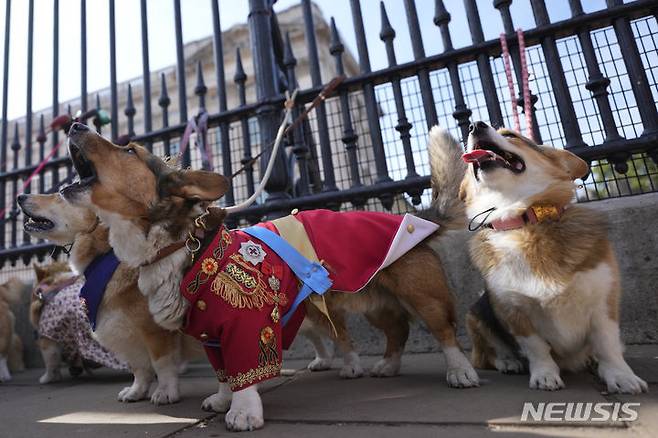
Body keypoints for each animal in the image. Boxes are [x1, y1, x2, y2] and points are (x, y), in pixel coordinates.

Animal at [18, 193, 202, 402]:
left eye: (61, 195)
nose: (20, 196)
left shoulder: (156, 331)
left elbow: (162, 364)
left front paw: (165, 392)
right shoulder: (129, 335)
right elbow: (139, 368)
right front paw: (136, 391)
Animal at [57, 122, 476, 432]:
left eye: (129, 151)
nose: (74, 123)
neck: (181, 245)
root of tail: (416, 216)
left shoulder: (246, 325)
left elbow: (242, 370)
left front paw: (243, 411)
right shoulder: (211, 335)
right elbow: (224, 372)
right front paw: (223, 398)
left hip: (423, 295)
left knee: (444, 331)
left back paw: (460, 371)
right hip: (376, 302)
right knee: (397, 330)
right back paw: (387, 366)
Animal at [434, 121, 644, 396]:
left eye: (510, 135)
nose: (474, 125)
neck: (523, 220)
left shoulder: (604, 302)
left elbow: (606, 344)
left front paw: (621, 376)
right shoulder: (514, 311)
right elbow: (537, 348)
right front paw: (545, 375)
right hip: (477, 314)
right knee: (486, 355)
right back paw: (509, 362)